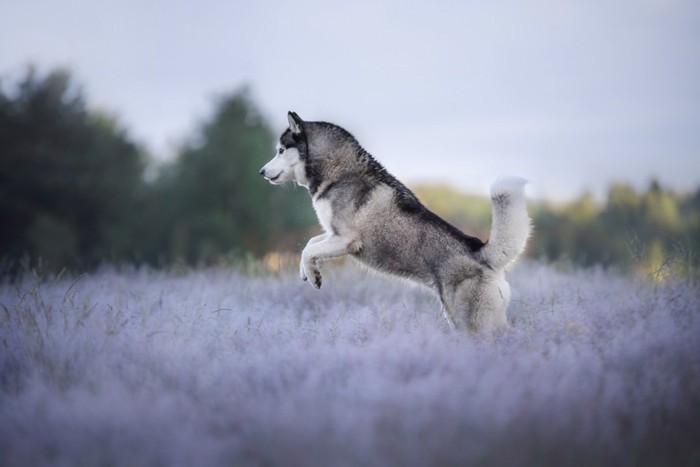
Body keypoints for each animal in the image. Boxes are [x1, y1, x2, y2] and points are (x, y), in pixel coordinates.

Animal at [262, 113, 532, 332]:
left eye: (280, 150)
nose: (261, 172)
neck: (340, 172)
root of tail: (481, 252)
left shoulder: (345, 239)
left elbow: (308, 250)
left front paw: (313, 275)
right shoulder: (333, 235)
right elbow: (310, 244)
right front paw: (307, 272)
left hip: (472, 323)